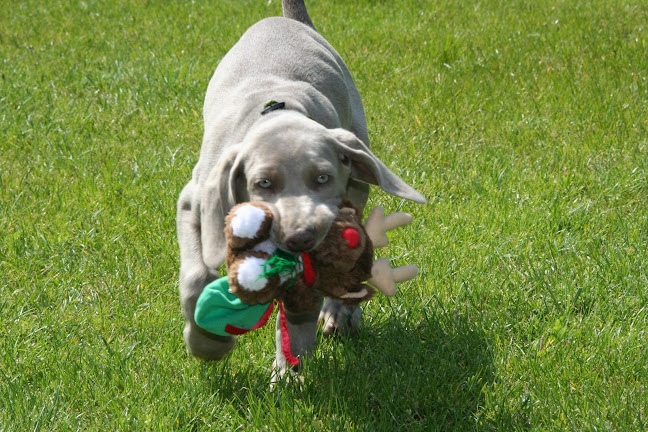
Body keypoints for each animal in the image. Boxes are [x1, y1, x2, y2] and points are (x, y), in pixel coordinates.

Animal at [176, 0, 426, 376]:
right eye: (263, 184)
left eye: (322, 178)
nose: (300, 238)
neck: (276, 114)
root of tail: (290, 21)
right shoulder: (194, 201)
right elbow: (196, 275)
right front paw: (207, 344)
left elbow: (301, 311)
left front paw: (287, 372)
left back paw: (339, 315)